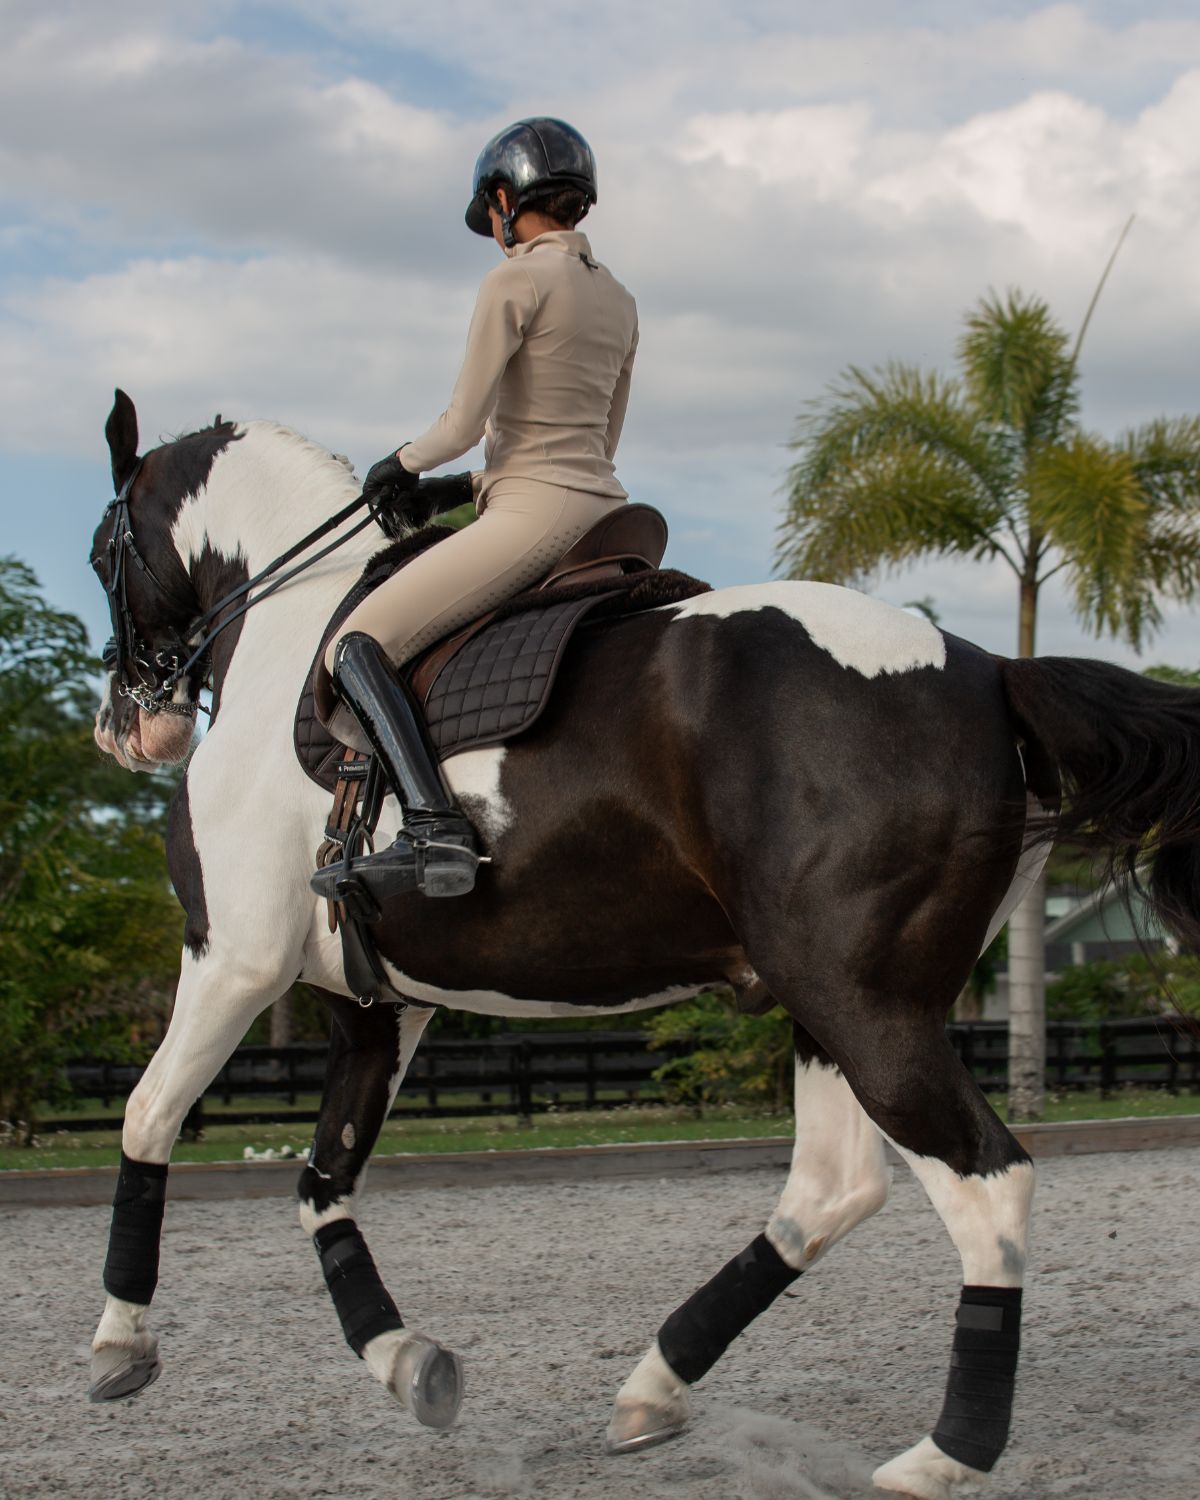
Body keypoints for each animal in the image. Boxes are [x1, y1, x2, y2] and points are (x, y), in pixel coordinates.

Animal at [84, 390, 1200, 1500]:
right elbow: (322, 1184)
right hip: (834, 1001)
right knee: (833, 1187)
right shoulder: (376, 1007)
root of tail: (993, 671)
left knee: (986, 1184)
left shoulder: (232, 961)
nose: (126, 729)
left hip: (865, 1007)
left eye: (101, 554)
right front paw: (410, 1365)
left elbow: (147, 1117)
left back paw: (942, 1454)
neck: (289, 633)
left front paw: (118, 1346)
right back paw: (654, 1388)